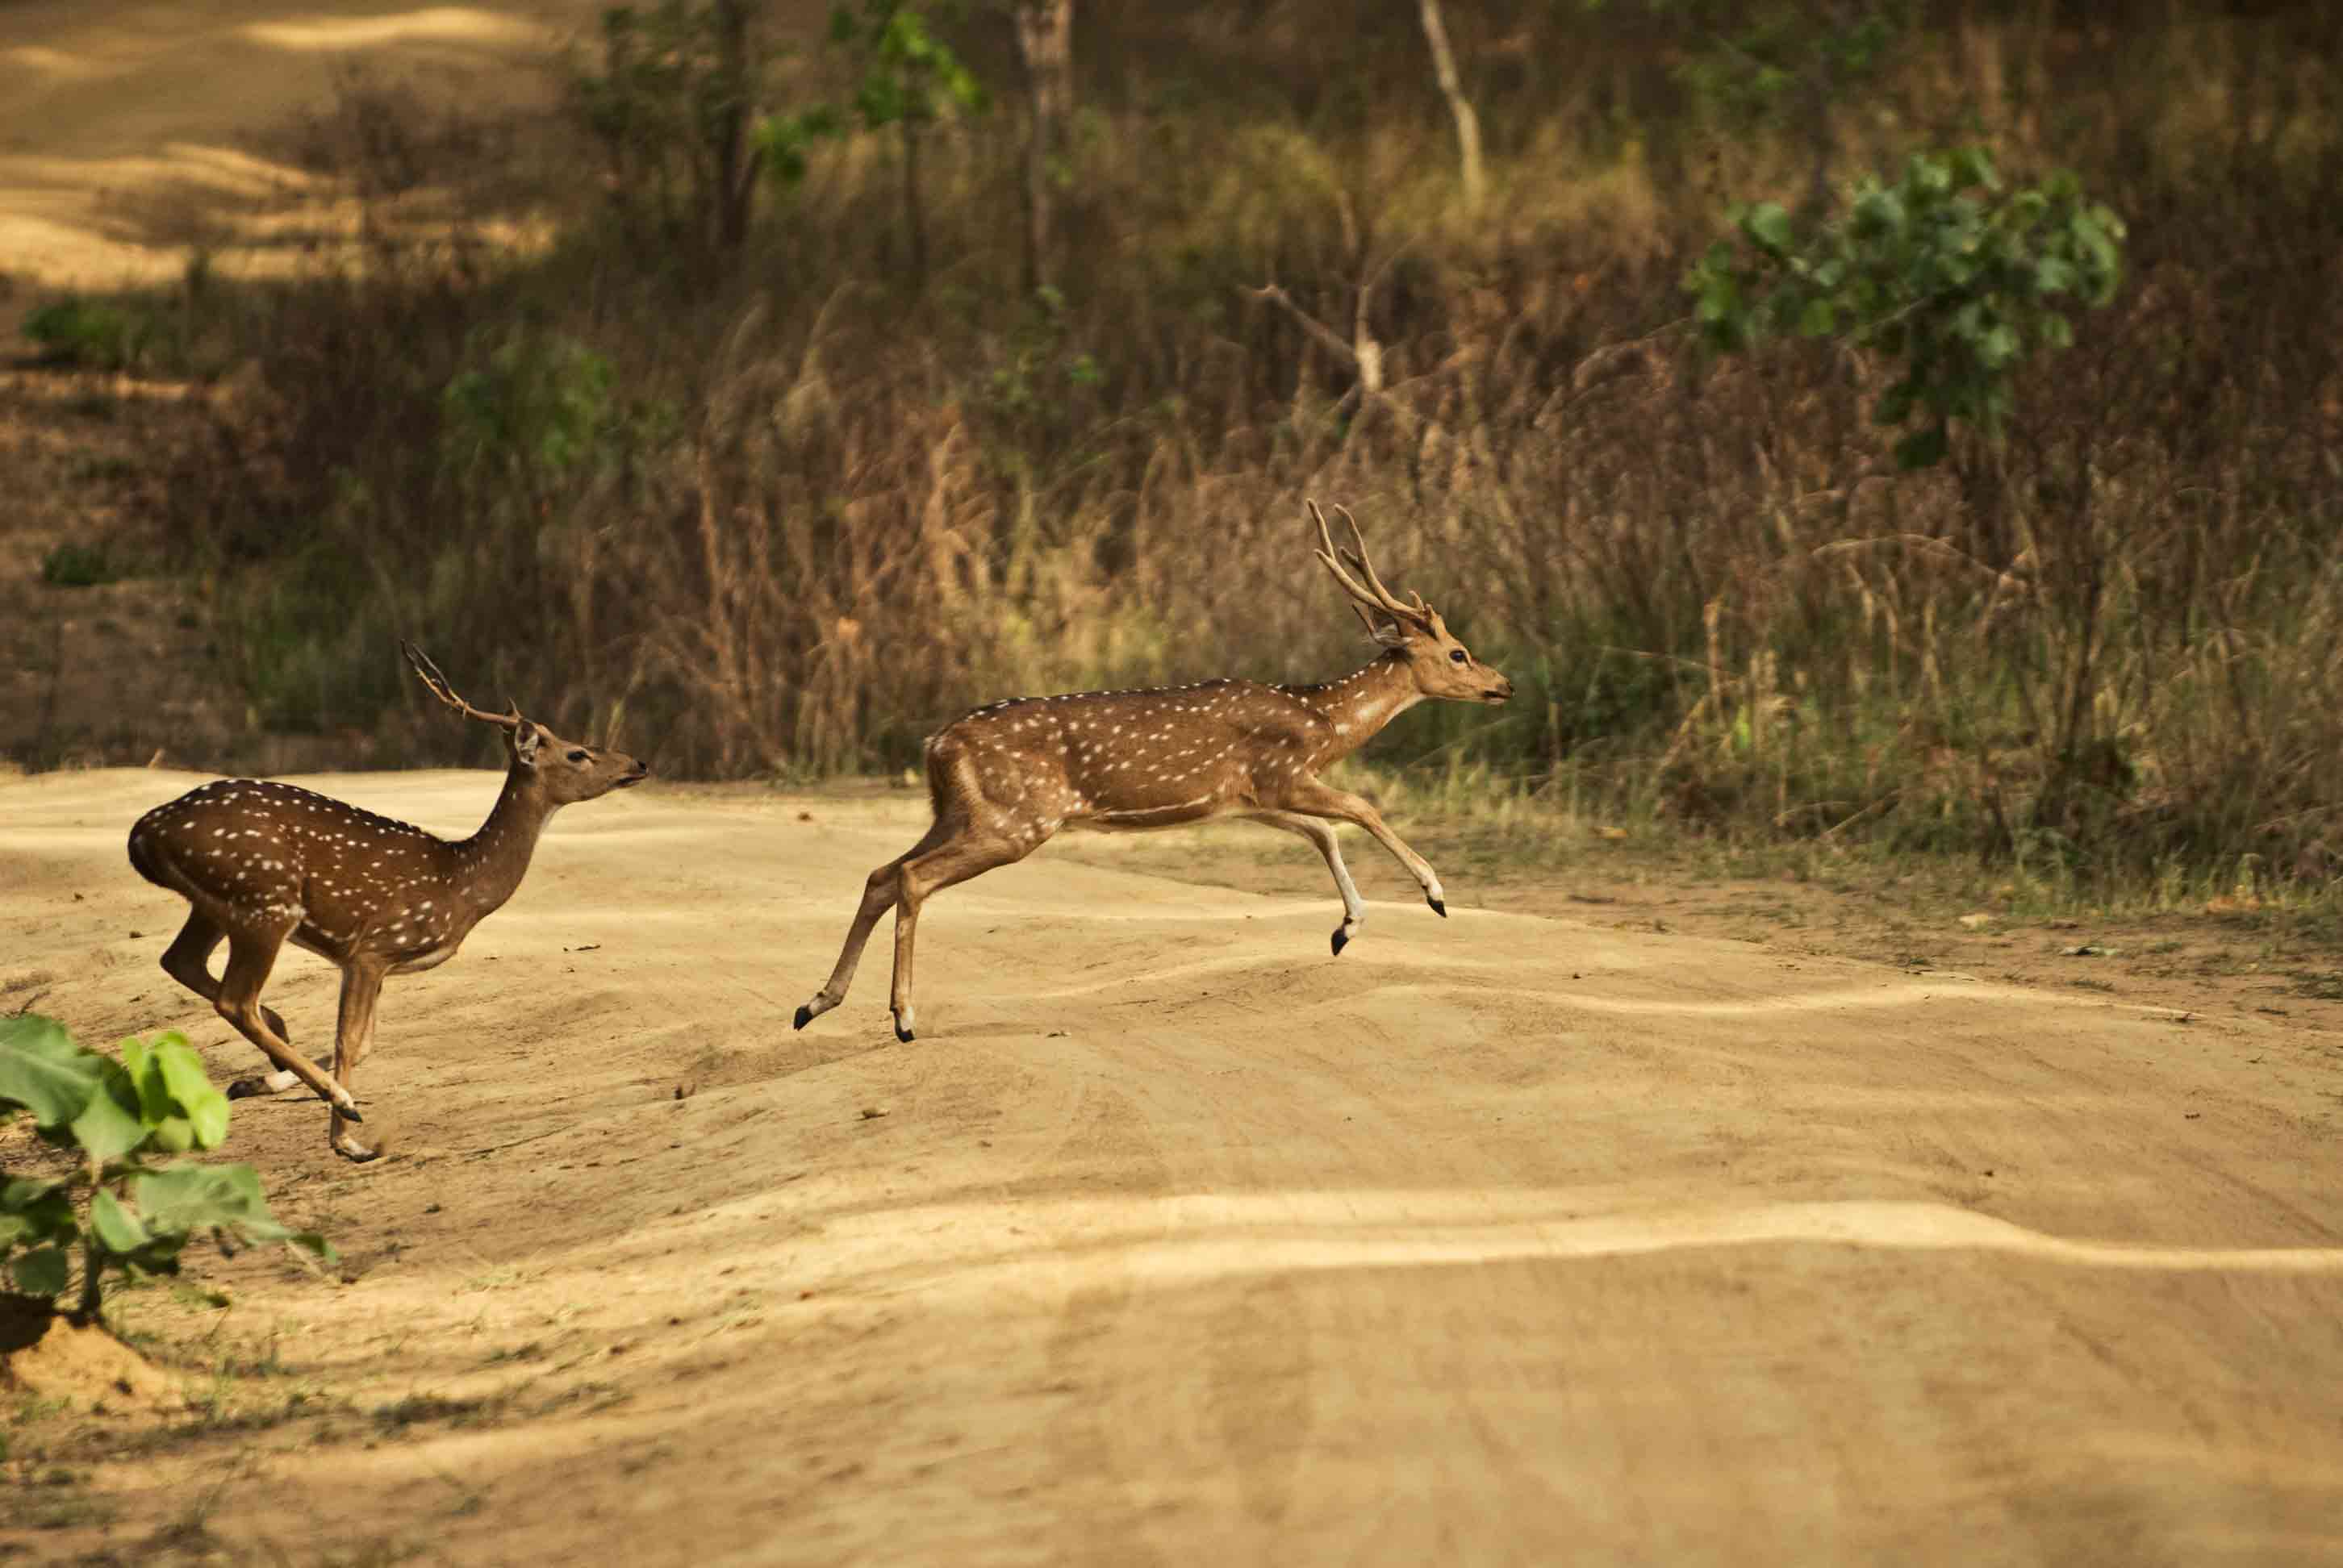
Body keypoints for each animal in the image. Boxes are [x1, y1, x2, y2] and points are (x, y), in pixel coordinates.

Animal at [127, 637, 651, 1162]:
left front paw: (264, 1087)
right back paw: (341, 1100)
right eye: (578, 753)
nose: (639, 763)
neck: (463, 884)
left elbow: (364, 1045)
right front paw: (347, 1141)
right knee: (236, 1000)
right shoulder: (373, 947)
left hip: (218, 905)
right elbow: (349, 1040)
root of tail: (144, 831)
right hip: (267, 900)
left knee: (181, 962)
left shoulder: (374, 963)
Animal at [796, 501, 1509, 1040]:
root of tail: (935, 743)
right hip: (1016, 819)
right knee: (912, 878)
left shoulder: (1249, 796)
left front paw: (1345, 929)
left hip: (957, 811)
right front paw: (1435, 894)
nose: (1503, 684)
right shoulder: (1282, 772)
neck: (1323, 721)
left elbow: (1324, 833)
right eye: (1458, 652)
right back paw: (903, 1018)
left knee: (881, 873)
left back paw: (814, 1003)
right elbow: (1362, 809)